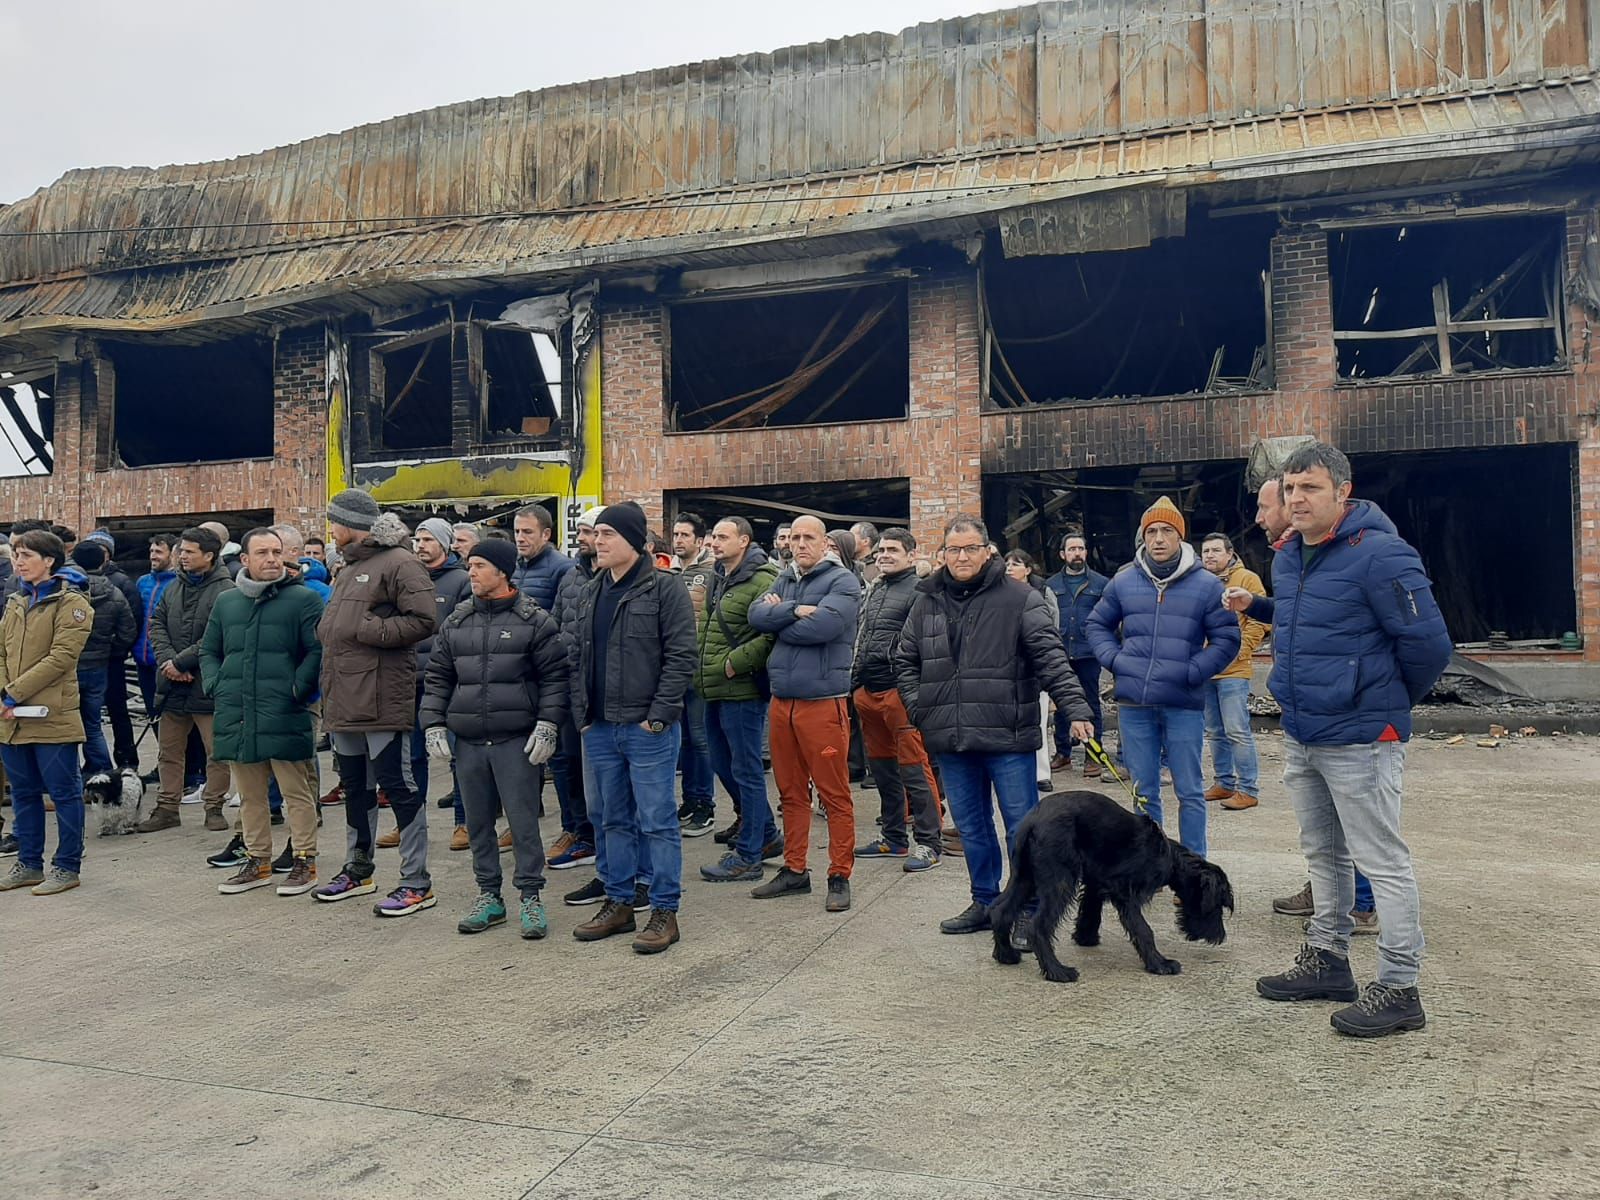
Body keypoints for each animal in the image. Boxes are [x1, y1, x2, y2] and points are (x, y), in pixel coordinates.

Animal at [985, 790, 1235, 985]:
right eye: (1217, 905)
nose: (1219, 937)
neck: (1169, 856)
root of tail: (1032, 821)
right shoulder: (1124, 891)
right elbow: (1143, 929)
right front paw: (1160, 963)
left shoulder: (1096, 883)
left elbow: (1090, 911)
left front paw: (1085, 938)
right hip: (1060, 881)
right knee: (1038, 925)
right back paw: (1057, 971)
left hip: (1025, 878)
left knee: (1000, 911)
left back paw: (1006, 955)